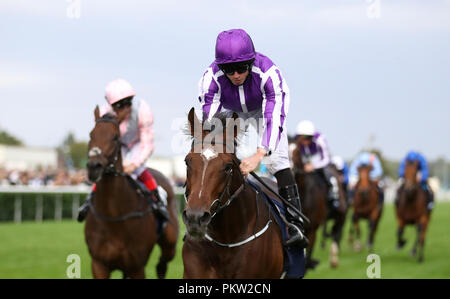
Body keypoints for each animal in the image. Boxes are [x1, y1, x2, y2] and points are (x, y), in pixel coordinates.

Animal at [83, 107, 178, 278]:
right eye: (91, 134)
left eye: (115, 137)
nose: (94, 167)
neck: (113, 217)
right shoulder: (99, 264)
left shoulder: (137, 267)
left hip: (170, 244)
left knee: (162, 264)